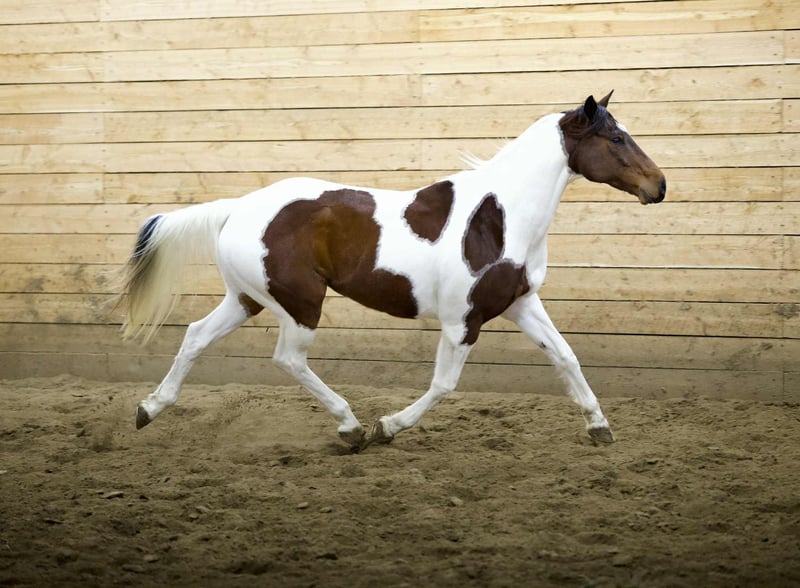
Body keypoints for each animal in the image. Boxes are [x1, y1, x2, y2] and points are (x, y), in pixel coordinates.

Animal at [121, 92, 666, 451]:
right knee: (288, 359)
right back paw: (351, 428)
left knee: (196, 335)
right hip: (300, 304)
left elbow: (566, 357)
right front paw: (388, 426)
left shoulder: (520, 304)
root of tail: (237, 208)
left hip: (247, 299)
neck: (499, 217)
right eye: (616, 137)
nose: (659, 186)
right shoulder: (462, 321)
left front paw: (599, 427)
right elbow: (444, 385)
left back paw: (148, 409)